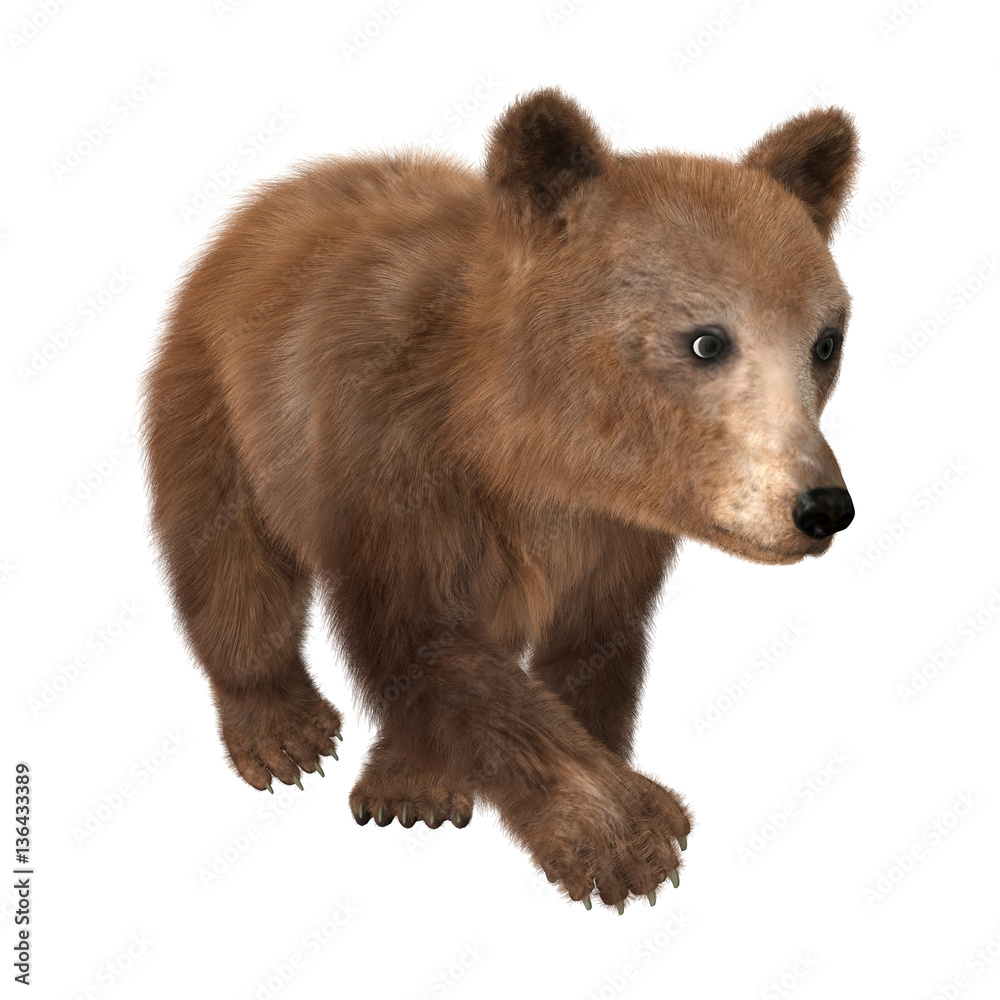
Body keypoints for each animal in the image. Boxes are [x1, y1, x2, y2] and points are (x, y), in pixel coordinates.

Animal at [141, 87, 858, 912]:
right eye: (707, 339)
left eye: (825, 341)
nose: (822, 504)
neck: (529, 449)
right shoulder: (396, 464)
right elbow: (428, 640)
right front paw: (627, 837)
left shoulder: (611, 534)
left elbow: (592, 647)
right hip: (218, 399)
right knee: (230, 565)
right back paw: (285, 730)